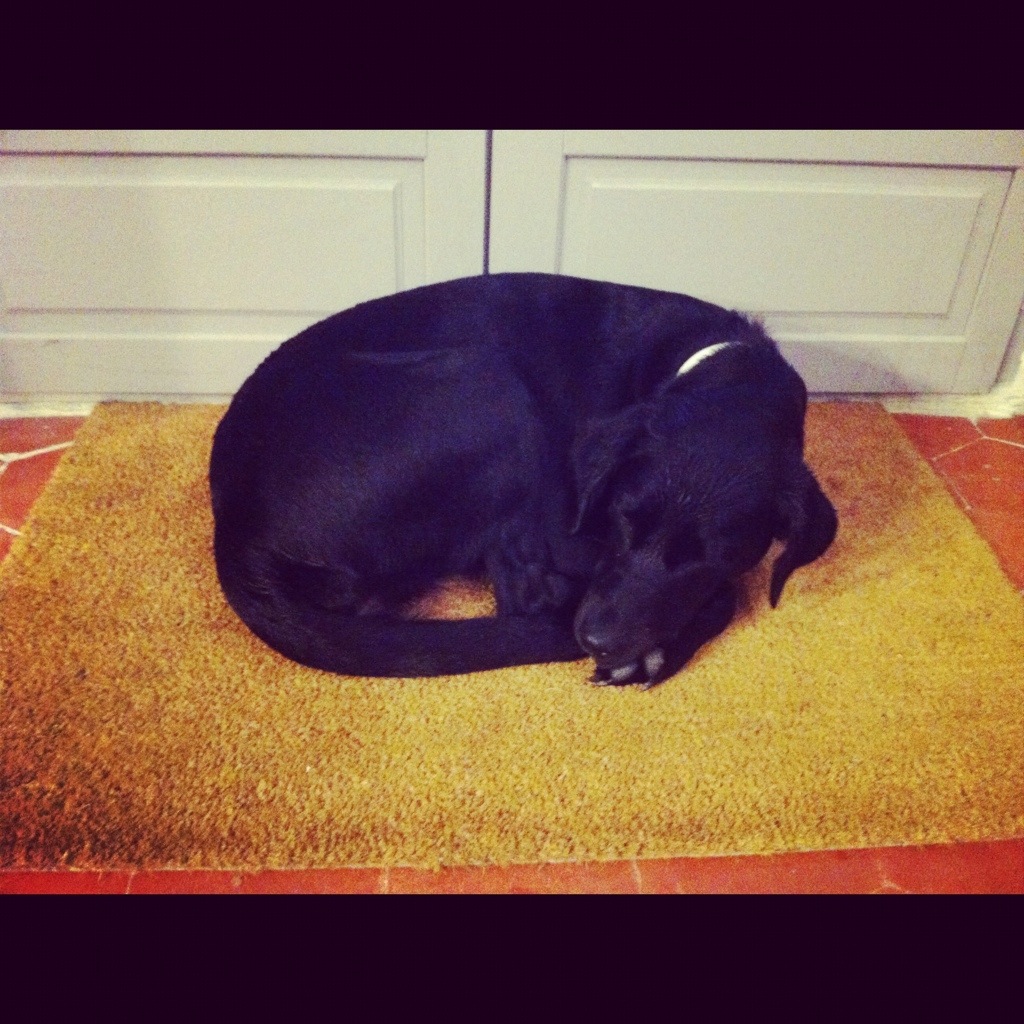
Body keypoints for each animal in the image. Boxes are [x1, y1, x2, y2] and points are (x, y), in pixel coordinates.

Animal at [210, 273, 837, 687]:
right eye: (621, 520)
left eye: (709, 556)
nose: (596, 641)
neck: (723, 367)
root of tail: (236, 527)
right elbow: (726, 594)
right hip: (490, 382)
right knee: (521, 596)